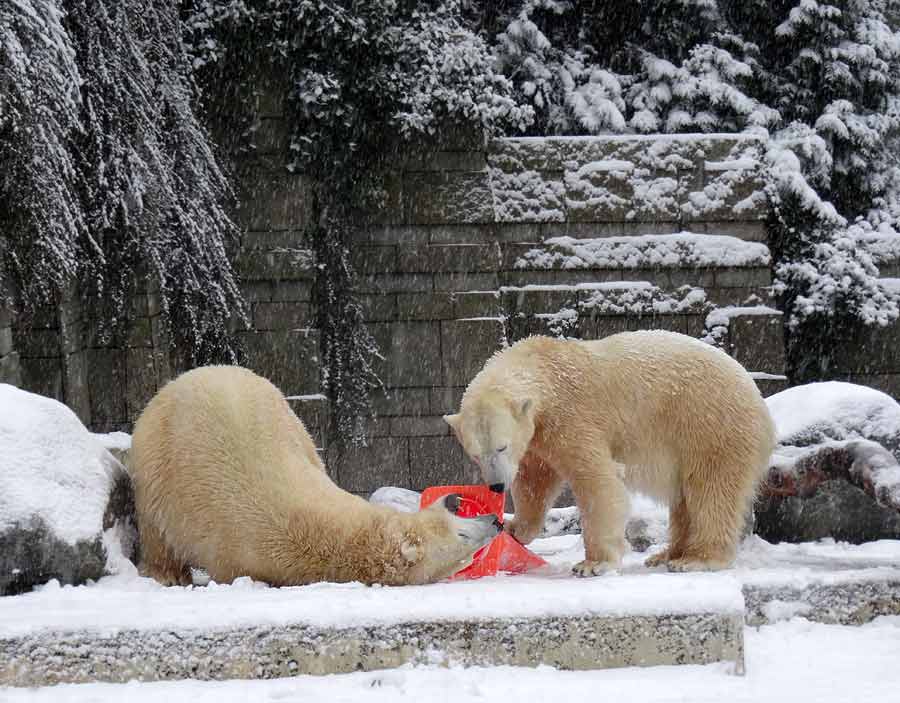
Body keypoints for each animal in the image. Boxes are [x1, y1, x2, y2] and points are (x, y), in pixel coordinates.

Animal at [130, 366, 500, 584]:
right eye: (461, 535)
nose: (494, 521)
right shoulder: (232, 549)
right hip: (155, 458)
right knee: (156, 530)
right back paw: (168, 576)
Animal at [446, 332, 776, 576]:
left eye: (501, 446)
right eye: (475, 454)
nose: (496, 485)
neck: (544, 367)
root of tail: (758, 398)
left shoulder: (572, 415)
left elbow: (596, 481)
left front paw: (593, 564)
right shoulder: (539, 434)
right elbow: (534, 480)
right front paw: (516, 529)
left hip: (710, 425)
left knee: (711, 490)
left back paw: (696, 559)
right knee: (685, 499)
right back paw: (665, 554)